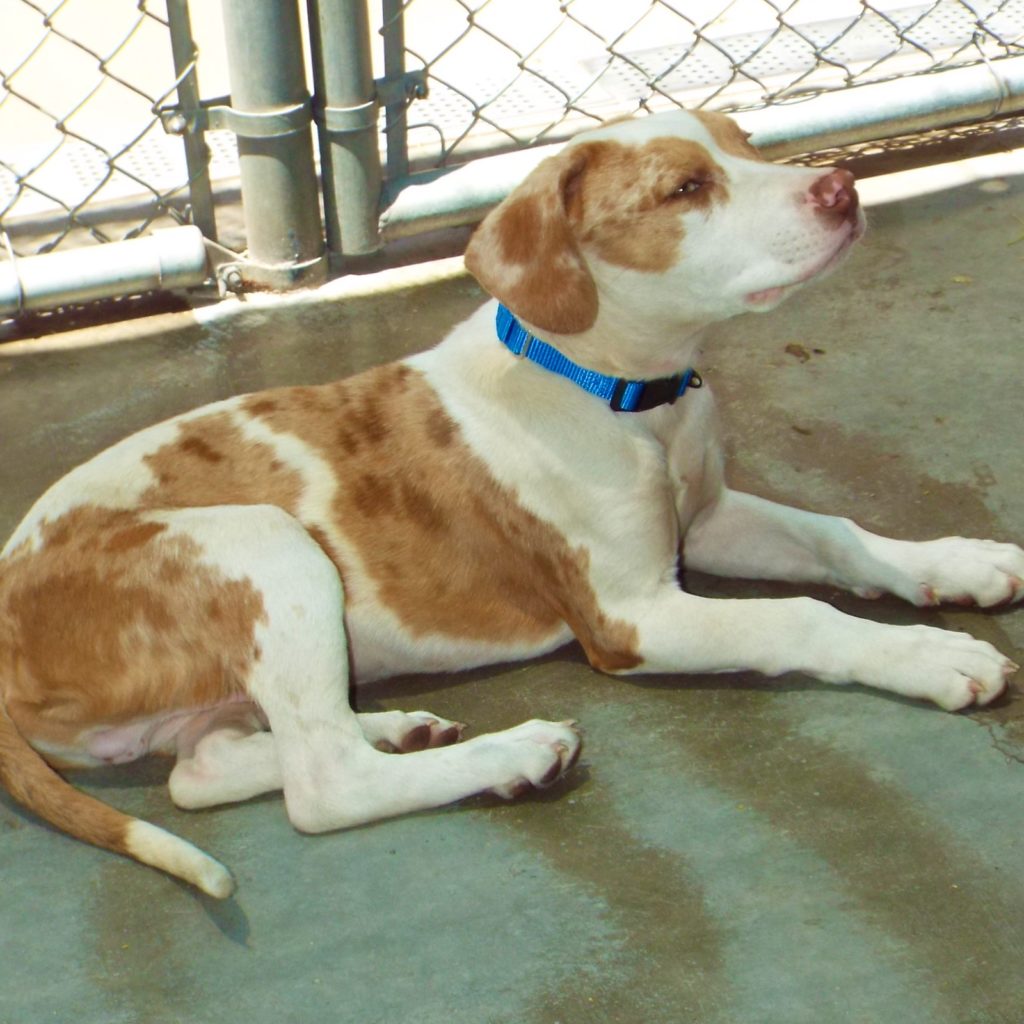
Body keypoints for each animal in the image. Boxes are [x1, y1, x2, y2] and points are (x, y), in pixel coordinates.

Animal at [1, 110, 1021, 898]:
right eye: (686, 187)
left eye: (748, 144)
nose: (842, 189)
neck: (624, 393)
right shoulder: (634, 617)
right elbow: (803, 616)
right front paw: (930, 657)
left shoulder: (708, 520)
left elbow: (840, 537)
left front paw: (960, 563)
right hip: (267, 543)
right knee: (323, 786)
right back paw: (509, 758)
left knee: (207, 772)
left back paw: (398, 727)